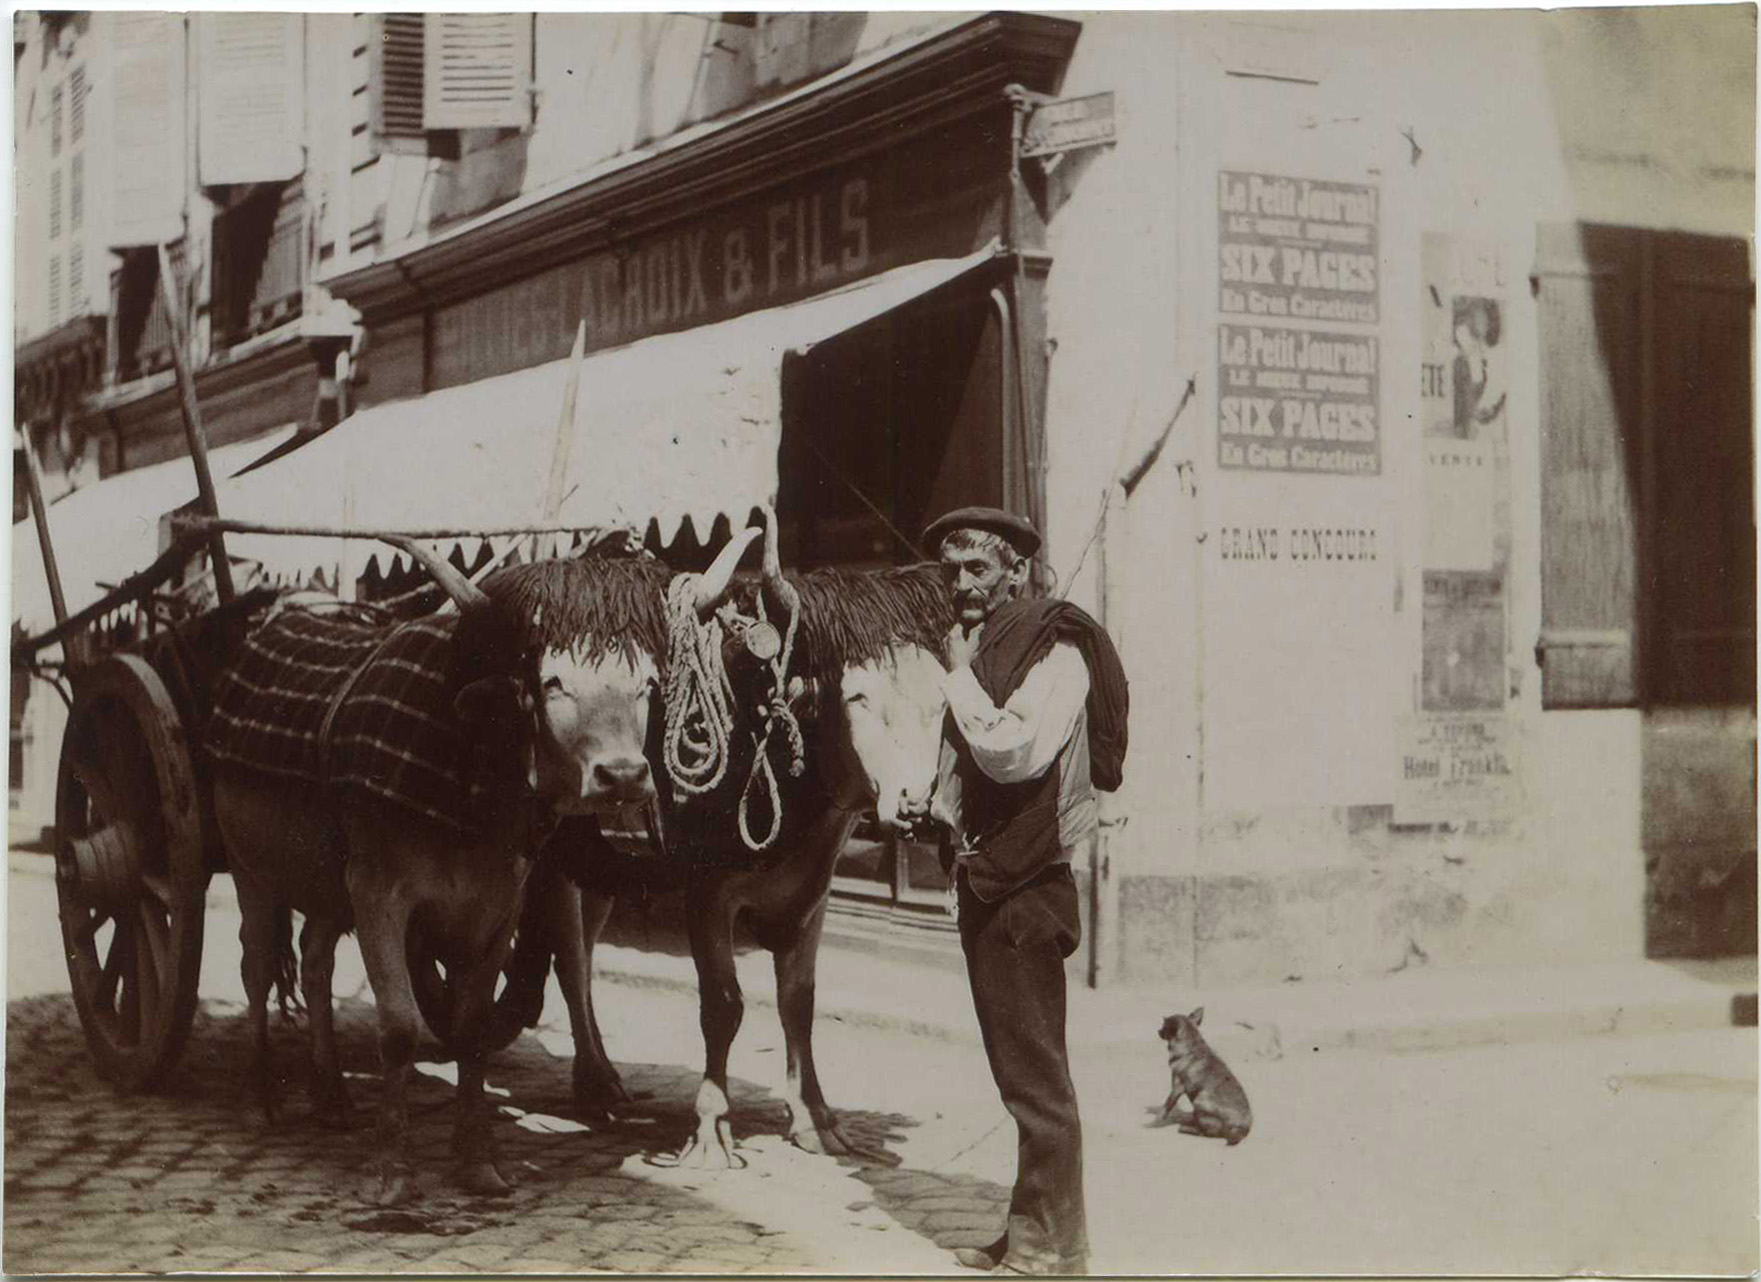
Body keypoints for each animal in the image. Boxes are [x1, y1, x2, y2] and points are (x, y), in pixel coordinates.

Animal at [1155, 1007, 1253, 1148]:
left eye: (1164, 1027)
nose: (1158, 1031)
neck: (1190, 1045)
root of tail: (1242, 1128)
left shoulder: (1177, 1087)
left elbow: (1166, 1105)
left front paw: (1155, 1121)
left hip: (1199, 1101)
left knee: (1206, 1132)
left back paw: (1187, 1127)